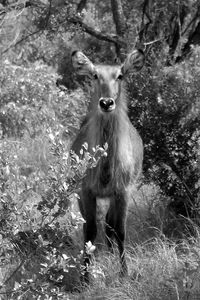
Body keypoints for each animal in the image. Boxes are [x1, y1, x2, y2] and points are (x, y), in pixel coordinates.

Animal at [71, 49, 145, 282]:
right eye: (95, 75)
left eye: (120, 75)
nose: (106, 103)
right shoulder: (86, 191)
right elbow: (89, 231)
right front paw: (85, 278)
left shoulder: (123, 192)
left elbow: (119, 230)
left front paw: (124, 272)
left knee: (110, 225)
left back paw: (111, 253)